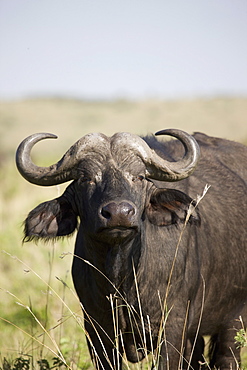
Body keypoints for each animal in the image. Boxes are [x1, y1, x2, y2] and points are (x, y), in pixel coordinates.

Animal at [16, 129, 246, 368]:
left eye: (139, 177)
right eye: (86, 178)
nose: (118, 213)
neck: (123, 279)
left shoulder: (173, 325)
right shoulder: (97, 329)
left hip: (234, 319)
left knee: (227, 356)